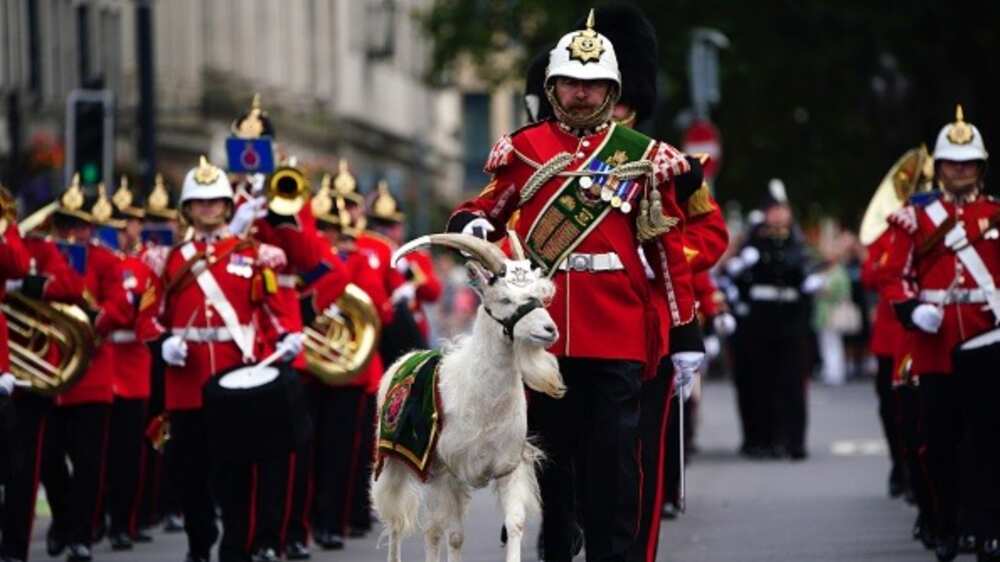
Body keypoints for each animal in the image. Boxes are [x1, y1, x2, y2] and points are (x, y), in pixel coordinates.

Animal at [372, 232, 568, 560]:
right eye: (505, 299)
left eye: (540, 296)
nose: (549, 329)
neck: (482, 401)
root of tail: (406, 357)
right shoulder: (447, 471)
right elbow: (451, 535)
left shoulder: (508, 467)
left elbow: (514, 524)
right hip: (395, 462)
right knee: (399, 522)